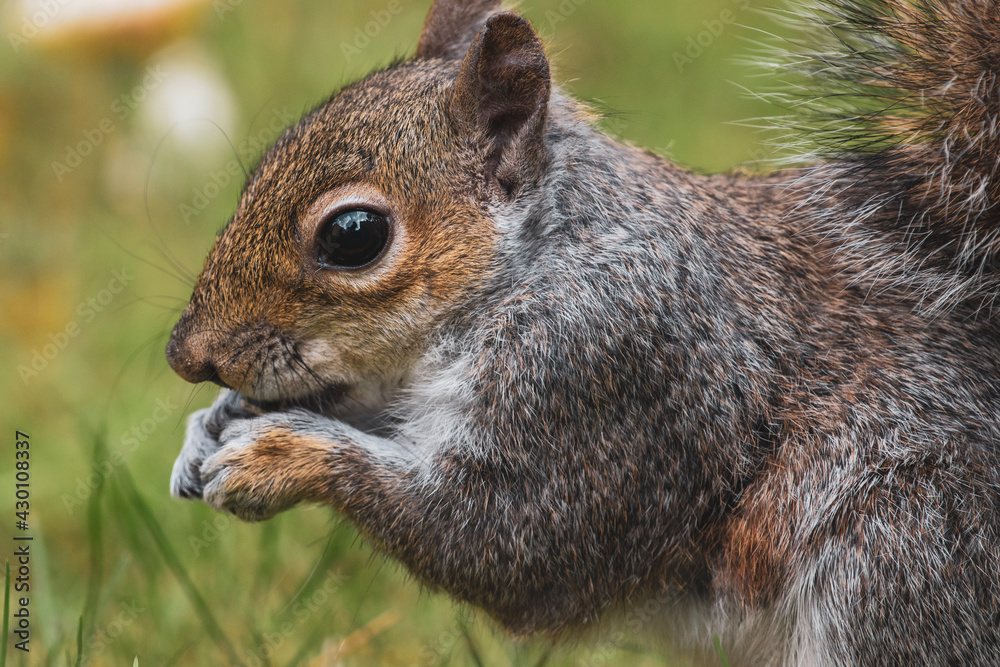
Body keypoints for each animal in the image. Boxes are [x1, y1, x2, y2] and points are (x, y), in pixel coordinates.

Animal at [166, 0, 1000, 664]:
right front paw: (209, 425)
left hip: (901, 552)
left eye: (354, 235)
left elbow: (509, 541)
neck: (540, 261)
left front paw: (279, 455)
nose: (187, 355)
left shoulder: (606, 370)